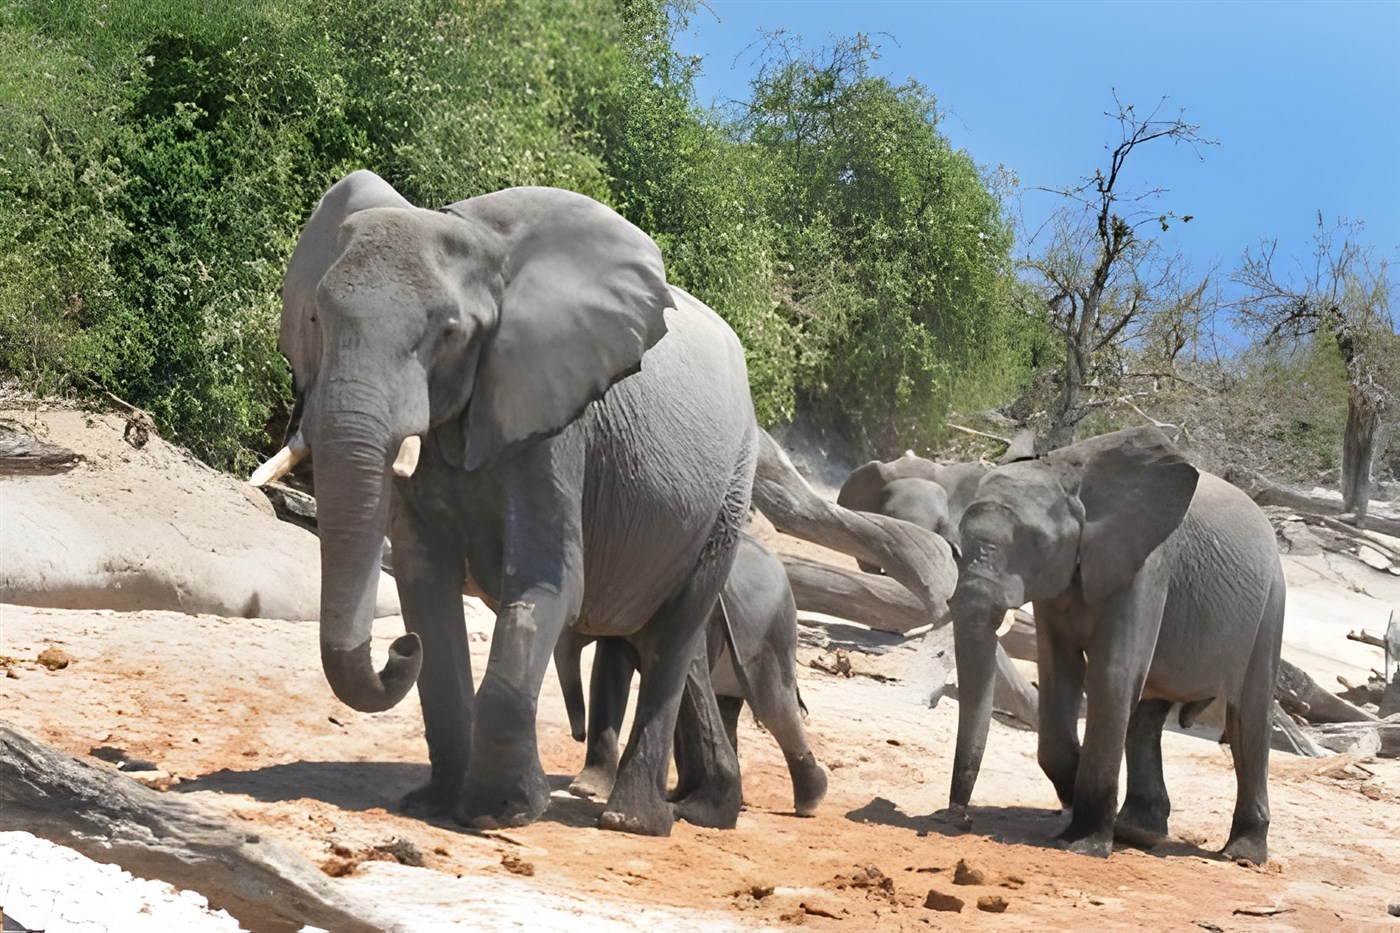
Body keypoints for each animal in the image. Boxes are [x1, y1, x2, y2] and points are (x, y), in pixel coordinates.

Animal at [252, 170, 758, 837]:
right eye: (316, 318)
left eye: (448, 333)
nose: (396, 651)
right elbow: (424, 584)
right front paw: (435, 804)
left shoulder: (556, 423)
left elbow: (550, 585)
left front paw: (502, 812)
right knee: (671, 641)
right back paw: (703, 811)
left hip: (732, 488)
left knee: (677, 631)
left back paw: (632, 822)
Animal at [554, 533, 828, 817]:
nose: (578, 735)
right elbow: (610, 668)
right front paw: (585, 789)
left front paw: (586, 790)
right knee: (730, 707)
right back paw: (692, 797)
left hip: (774, 631)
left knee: (772, 705)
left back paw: (810, 802)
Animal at [946, 426, 1285, 861]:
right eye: (957, 543)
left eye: (1037, 542)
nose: (960, 819)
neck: (1067, 472)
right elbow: (1060, 672)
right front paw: (1074, 801)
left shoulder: (1147, 565)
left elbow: (1111, 676)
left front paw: (1082, 846)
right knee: (1146, 716)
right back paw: (1138, 831)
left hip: (1271, 605)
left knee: (1249, 718)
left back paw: (1240, 856)